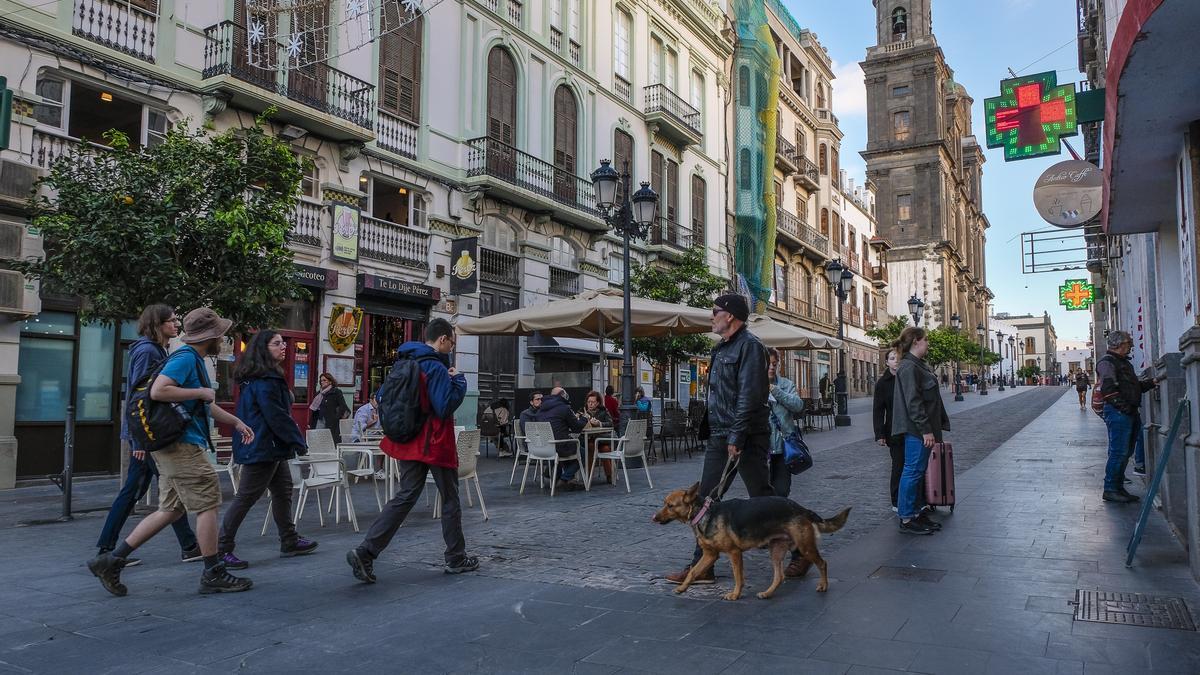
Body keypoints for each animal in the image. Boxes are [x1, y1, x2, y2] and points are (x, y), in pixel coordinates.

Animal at [652, 480, 849, 595]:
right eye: (664, 503)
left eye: (670, 506)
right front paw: (683, 587)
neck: (704, 513)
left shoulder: (734, 553)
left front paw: (735, 595)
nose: (653, 518)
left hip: (805, 545)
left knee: (822, 563)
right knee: (779, 576)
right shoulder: (710, 555)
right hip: (776, 550)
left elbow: (738, 576)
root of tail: (802, 509)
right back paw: (767, 593)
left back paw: (823, 585)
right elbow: (693, 571)